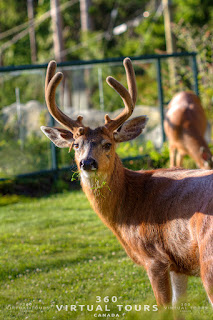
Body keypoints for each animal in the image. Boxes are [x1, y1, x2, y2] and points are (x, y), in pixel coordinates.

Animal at [40, 58, 213, 310]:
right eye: (76, 145)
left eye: (108, 144)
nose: (87, 162)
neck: (129, 204)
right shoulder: (178, 263)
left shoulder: (155, 258)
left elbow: (164, 309)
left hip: (208, 259)